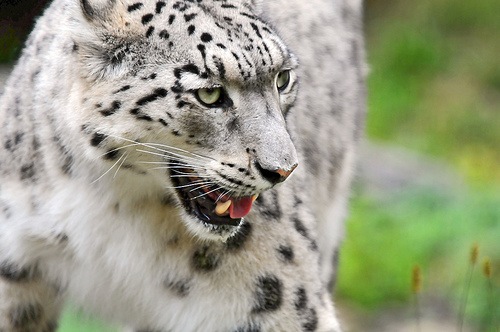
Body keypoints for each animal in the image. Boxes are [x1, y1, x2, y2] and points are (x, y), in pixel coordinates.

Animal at [0, 0, 368, 330]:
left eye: (282, 79)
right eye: (209, 95)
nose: (283, 170)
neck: (113, 201)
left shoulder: (276, 301)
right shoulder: (16, 273)